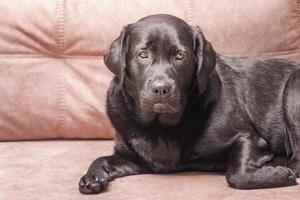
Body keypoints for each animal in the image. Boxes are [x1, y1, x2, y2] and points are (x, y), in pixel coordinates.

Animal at [78, 14, 298, 194]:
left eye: (179, 56)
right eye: (143, 54)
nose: (161, 88)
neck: (160, 126)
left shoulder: (249, 137)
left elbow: (236, 174)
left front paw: (278, 174)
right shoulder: (136, 159)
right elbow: (102, 158)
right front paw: (91, 177)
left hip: (292, 91)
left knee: (296, 161)